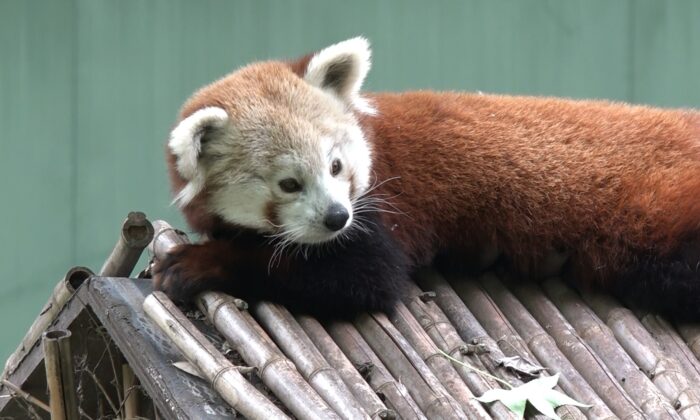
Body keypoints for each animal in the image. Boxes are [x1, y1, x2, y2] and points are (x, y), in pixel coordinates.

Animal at [154, 37, 700, 318]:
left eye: (336, 166)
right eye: (288, 184)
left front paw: (196, 263)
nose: (336, 217)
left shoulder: (386, 207)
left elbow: (365, 277)